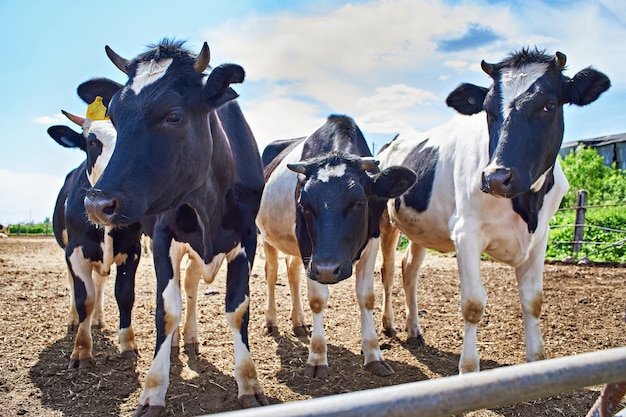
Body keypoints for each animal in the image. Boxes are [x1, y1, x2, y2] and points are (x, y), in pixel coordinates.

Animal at [47, 80, 144, 364]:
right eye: (92, 141)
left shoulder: (132, 250)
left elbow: (124, 295)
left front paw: (128, 344)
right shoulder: (75, 250)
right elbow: (84, 298)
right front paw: (81, 349)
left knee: (99, 284)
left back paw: (98, 320)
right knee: (76, 285)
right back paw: (74, 321)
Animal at [81, 38, 266, 412]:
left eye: (174, 116)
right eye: (115, 116)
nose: (97, 204)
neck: (208, 202)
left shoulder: (247, 238)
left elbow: (237, 308)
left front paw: (249, 383)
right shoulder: (163, 237)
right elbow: (167, 310)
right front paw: (153, 389)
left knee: (192, 288)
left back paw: (190, 338)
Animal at [254, 114, 414, 376]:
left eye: (359, 202)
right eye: (304, 204)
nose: (328, 269)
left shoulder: (372, 238)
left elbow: (366, 296)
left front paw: (374, 355)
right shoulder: (309, 248)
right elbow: (317, 300)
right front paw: (317, 358)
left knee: (292, 273)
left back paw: (299, 323)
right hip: (268, 236)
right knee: (271, 273)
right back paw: (271, 321)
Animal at [376, 46, 608, 374]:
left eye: (549, 105)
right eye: (487, 110)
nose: (497, 177)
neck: (526, 205)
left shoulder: (541, 236)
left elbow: (534, 301)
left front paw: (536, 362)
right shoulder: (467, 233)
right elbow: (473, 304)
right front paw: (468, 369)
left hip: (422, 226)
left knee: (410, 269)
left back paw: (414, 330)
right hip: (386, 221)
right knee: (387, 270)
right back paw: (390, 324)